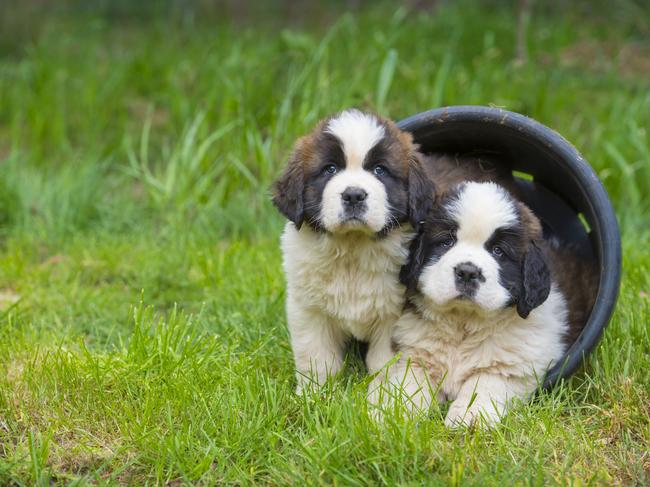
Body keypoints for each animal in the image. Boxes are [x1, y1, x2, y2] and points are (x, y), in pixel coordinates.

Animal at [270, 110, 432, 392]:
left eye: (380, 170)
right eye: (330, 169)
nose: (354, 195)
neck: (352, 249)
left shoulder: (395, 314)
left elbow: (383, 360)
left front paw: (383, 393)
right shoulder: (308, 308)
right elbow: (316, 355)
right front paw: (313, 393)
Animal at [368, 182, 596, 428]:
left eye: (498, 251)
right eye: (446, 242)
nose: (468, 272)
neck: (464, 323)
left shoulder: (516, 364)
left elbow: (484, 384)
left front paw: (468, 419)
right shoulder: (415, 354)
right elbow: (409, 384)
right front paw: (391, 414)